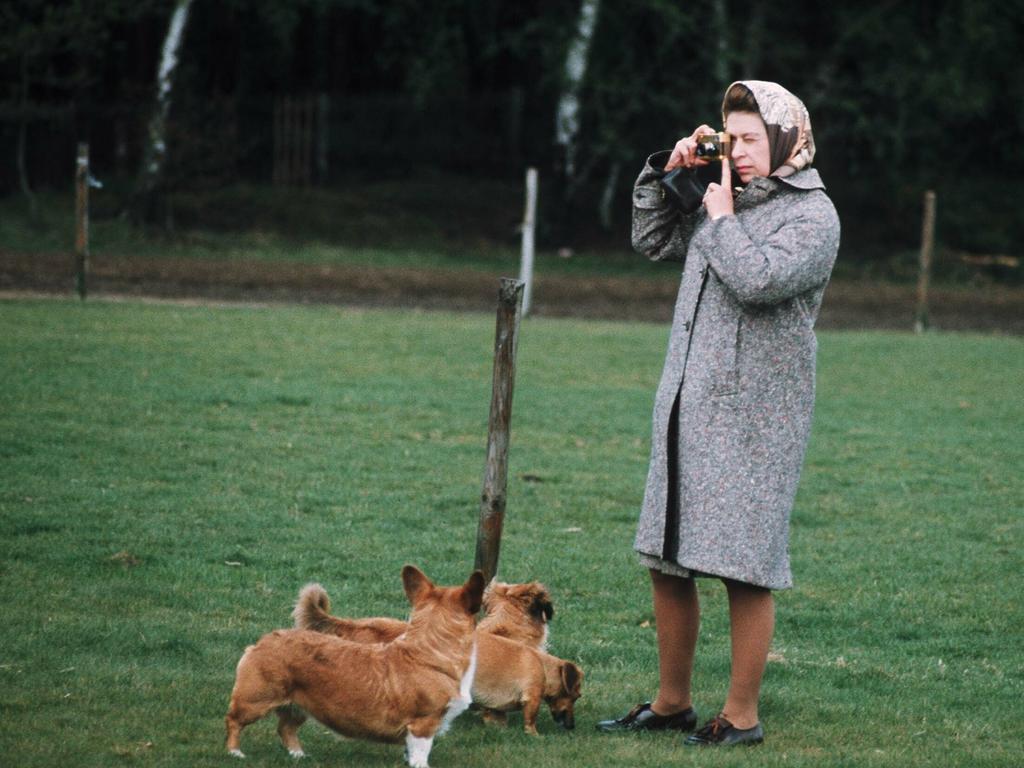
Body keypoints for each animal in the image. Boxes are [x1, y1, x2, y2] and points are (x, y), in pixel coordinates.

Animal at [226, 565, 481, 768]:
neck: (430, 652)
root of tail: (262, 642)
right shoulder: (423, 725)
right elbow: (420, 754)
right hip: (255, 701)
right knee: (233, 721)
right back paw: (235, 753)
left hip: (299, 705)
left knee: (285, 728)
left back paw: (299, 755)